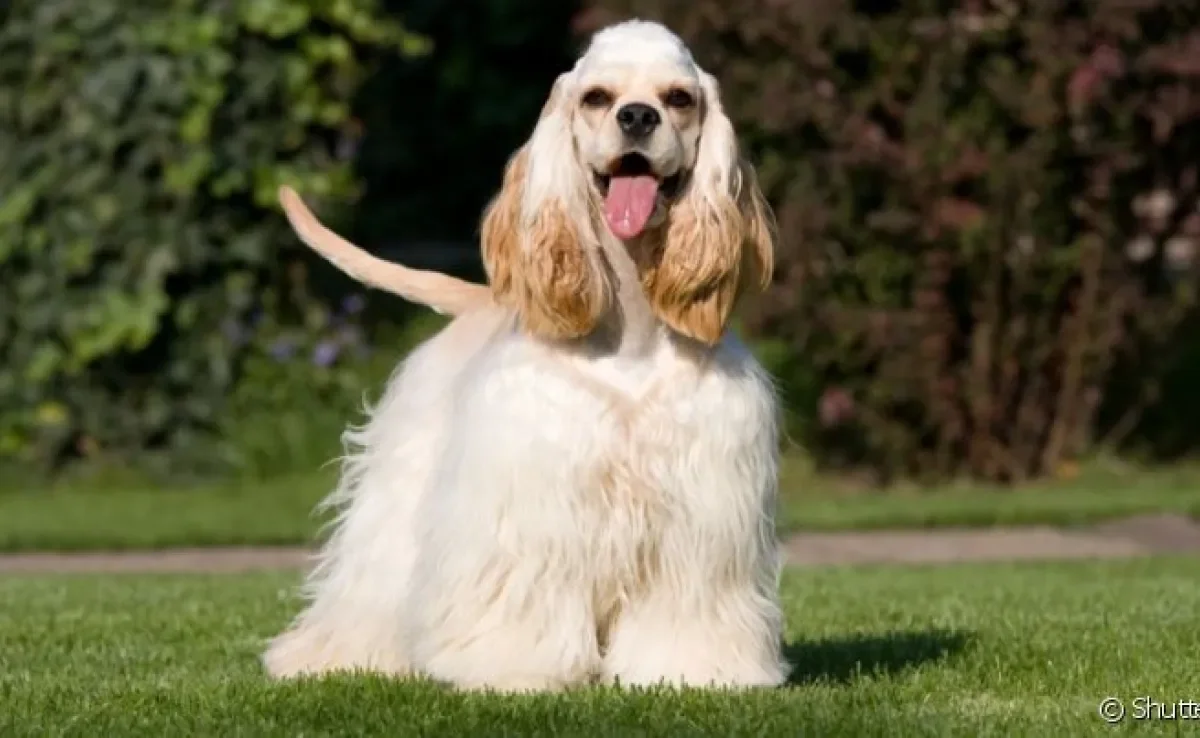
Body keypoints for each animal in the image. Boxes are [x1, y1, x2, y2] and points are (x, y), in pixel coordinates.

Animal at [262, 21, 787, 691]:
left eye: (678, 98)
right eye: (596, 98)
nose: (637, 117)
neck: (632, 331)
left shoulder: (700, 507)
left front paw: (694, 671)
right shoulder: (531, 503)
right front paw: (511, 669)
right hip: (402, 487)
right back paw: (335, 658)